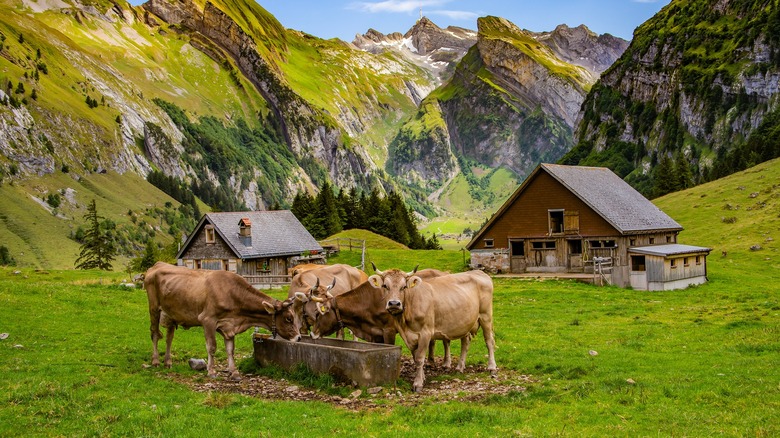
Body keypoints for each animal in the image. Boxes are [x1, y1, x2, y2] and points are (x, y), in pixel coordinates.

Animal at [145, 264, 304, 380]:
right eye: (288, 318)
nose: (298, 337)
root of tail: (157, 265)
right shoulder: (207, 320)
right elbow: (212, 347)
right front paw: (211, 371)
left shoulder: (229, 325)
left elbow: (230, 349)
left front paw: (234, 372)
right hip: (154, 309)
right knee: (154, 334)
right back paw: (155, 361)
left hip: (170, 314)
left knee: (169, 338)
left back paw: (168, 362)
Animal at [368, 266, 496, 392]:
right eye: (385, 286)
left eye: (403, 287)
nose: (394, 303)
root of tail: (478, 272)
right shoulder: (409, 336)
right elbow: (415, 357)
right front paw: (422, 377)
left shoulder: (425, 333)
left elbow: (420, 358)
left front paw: (418, 383)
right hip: (465, 322)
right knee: (465, 342)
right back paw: (460, 367)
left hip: (485, 316)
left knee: (489, 341)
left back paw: (492, 367)